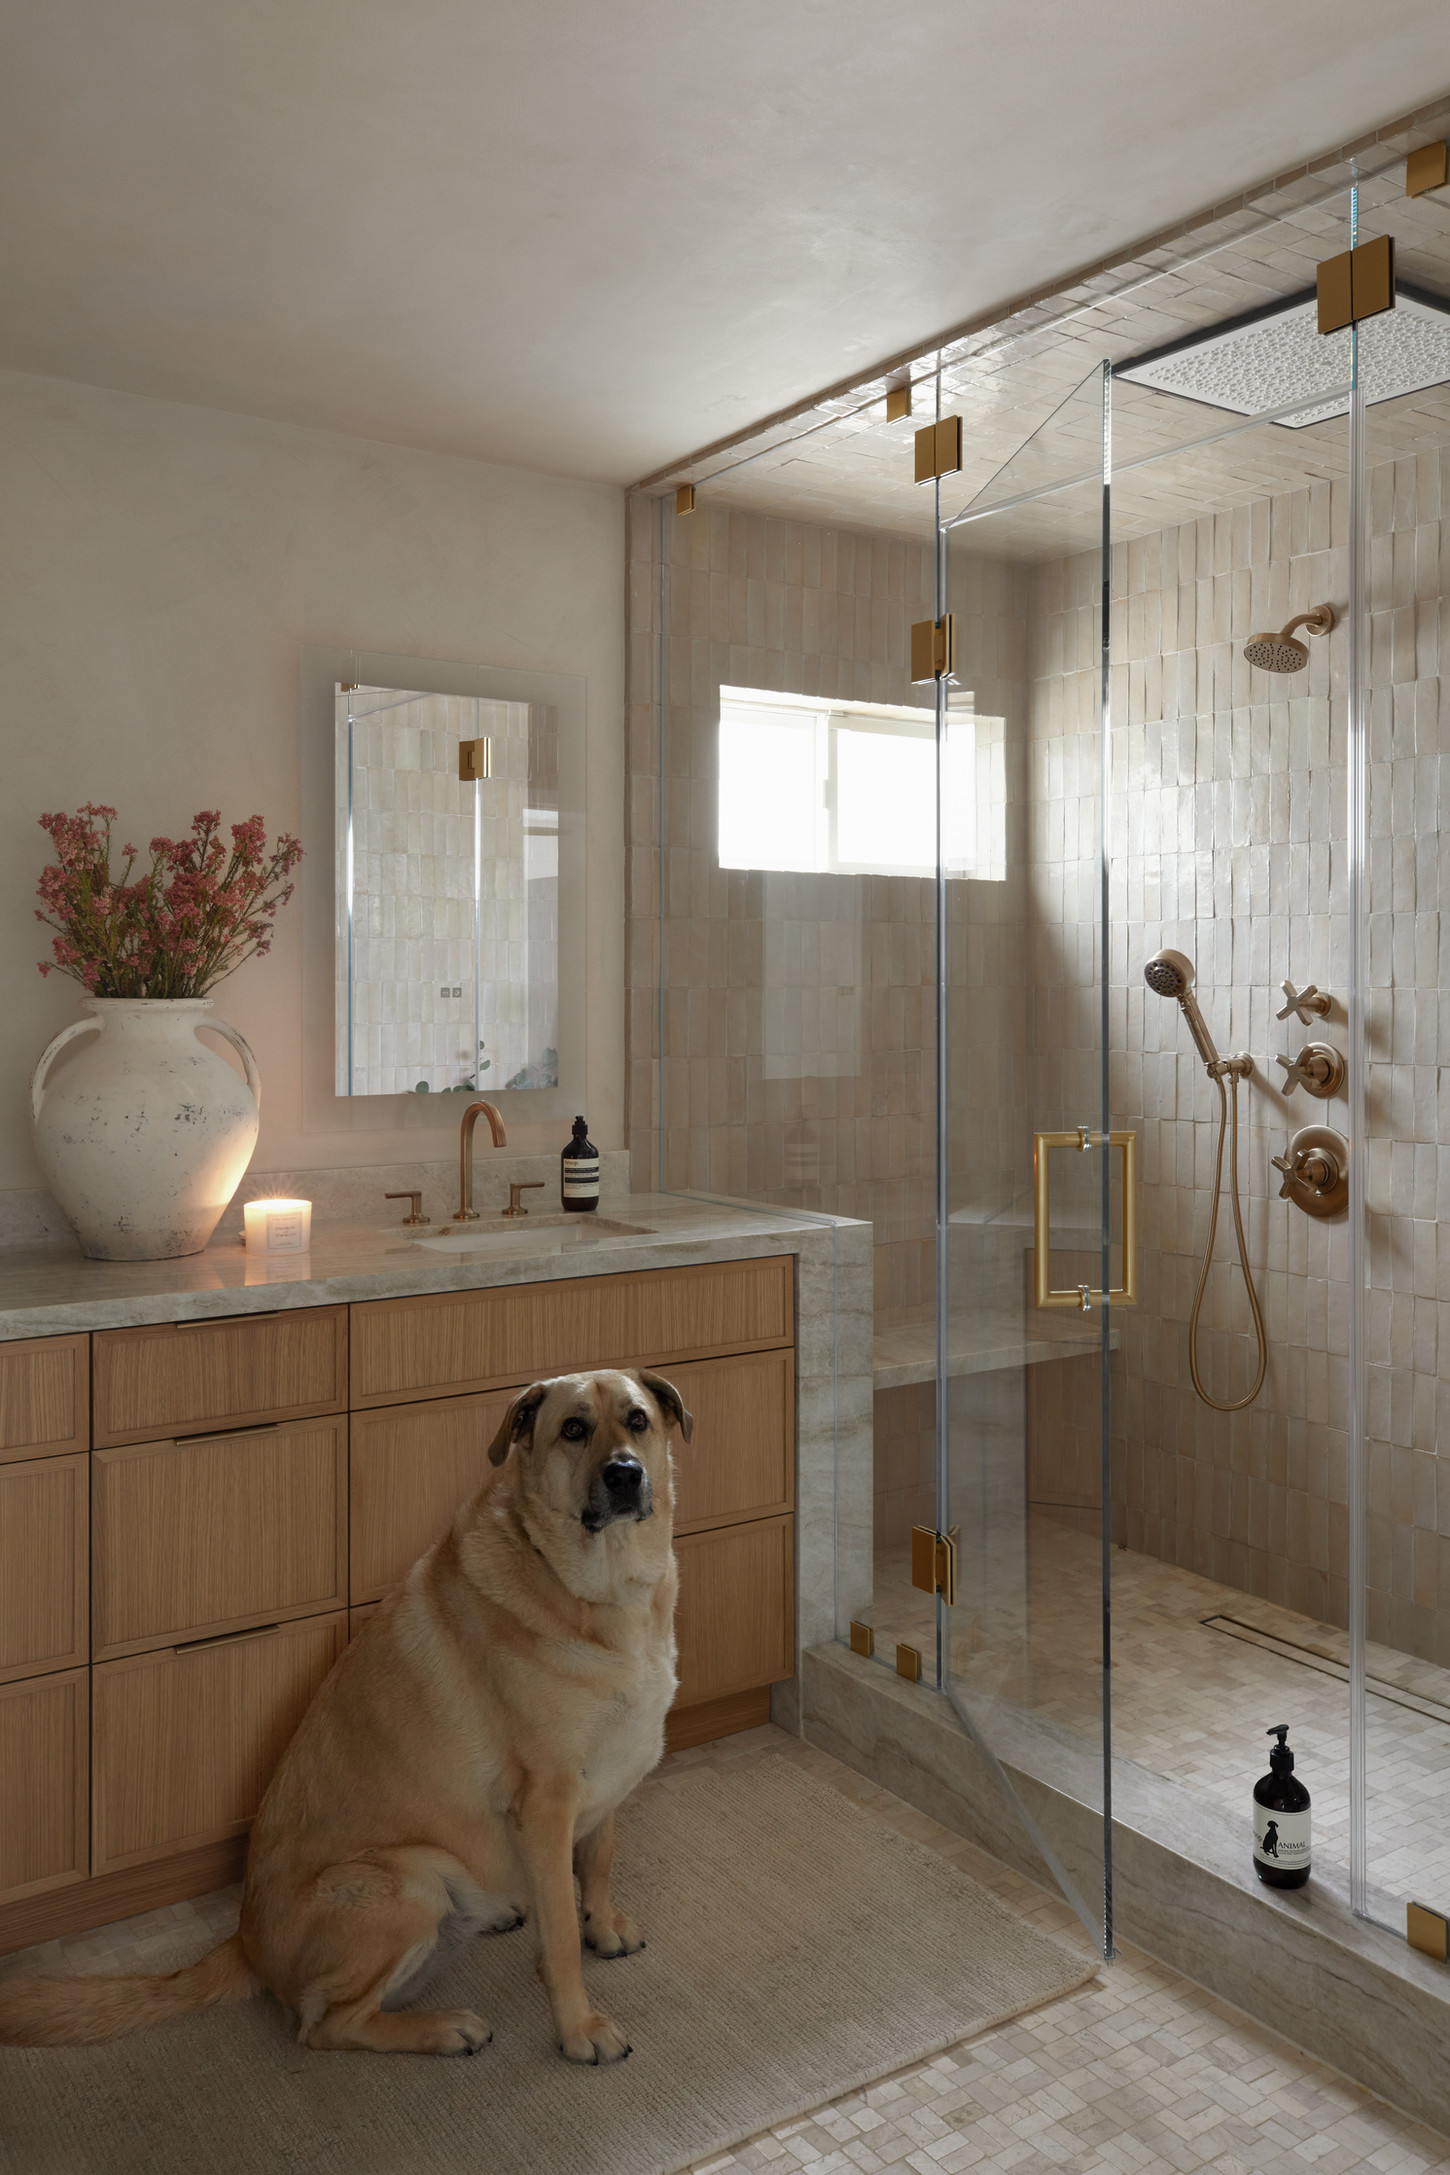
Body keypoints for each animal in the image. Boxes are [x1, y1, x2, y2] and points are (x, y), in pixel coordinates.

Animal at [0, 1365, 695, 2061]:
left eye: (637, 1420)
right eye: (573, 1429)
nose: (626, 1474)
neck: (597, 1590)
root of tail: (245, 1941)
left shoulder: (606, 1774)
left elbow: (599, 1860)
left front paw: (603, 1927)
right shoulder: (546, 1804)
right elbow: (560, 1939)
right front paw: (579, 2029)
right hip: (405, 1884)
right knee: (327, 2026)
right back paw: (444, 2028)